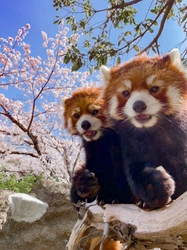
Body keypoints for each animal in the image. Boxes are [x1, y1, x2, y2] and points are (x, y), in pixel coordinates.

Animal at [99, 48, 187, 209]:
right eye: (126, 93)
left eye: (154, 89)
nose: (138, 105)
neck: (150, 130)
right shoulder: (129, 144)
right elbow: (135, 172)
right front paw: (156, 188)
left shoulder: (179, 137)